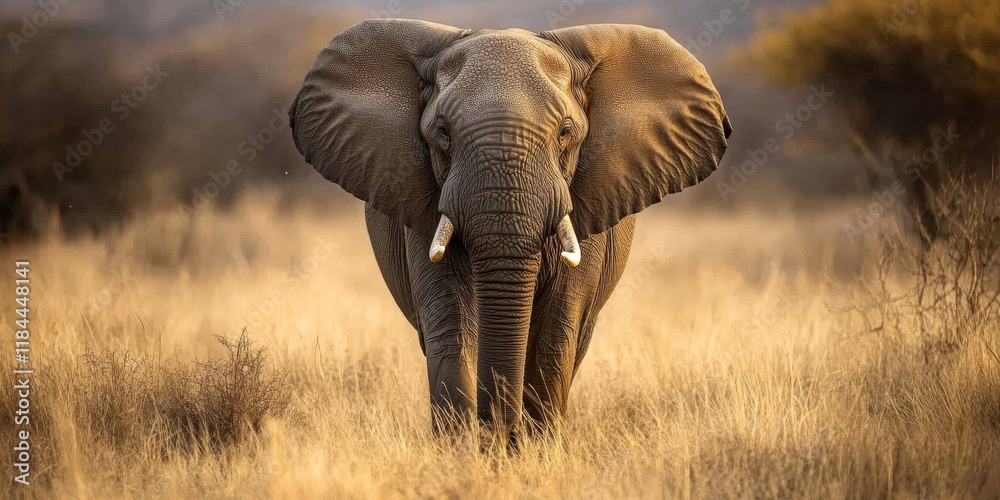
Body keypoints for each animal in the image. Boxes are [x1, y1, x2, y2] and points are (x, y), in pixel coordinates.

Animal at [289, 20, 732, 438]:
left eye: (565, 132)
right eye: (442, 132)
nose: (500, 432)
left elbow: (556, 333)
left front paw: (534, 451)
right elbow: (453, 324)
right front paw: (466, 453)